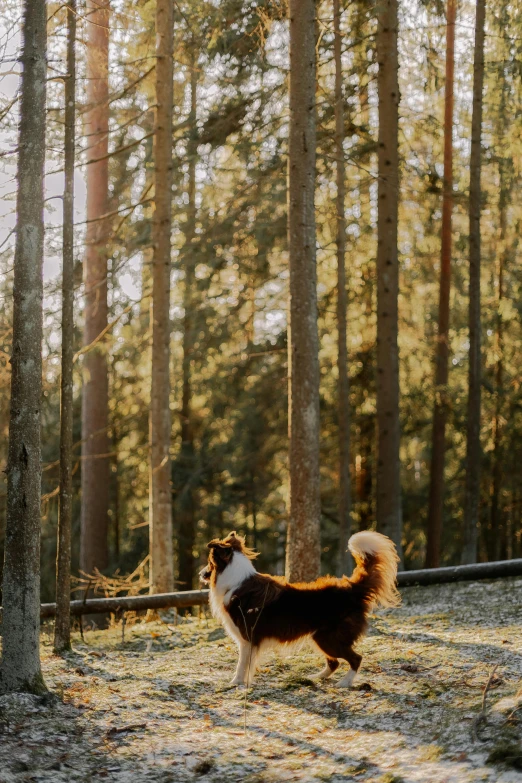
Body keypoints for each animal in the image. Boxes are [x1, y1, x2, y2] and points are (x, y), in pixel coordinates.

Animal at [199, 528, 398, 688]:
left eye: (209, 562)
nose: (200, 574)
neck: (235, 581)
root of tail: (351, 588)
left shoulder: (248, 638)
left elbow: (242, 665)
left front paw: (236, 683)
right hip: (319, 637)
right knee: (334, 663)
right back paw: (317, 677)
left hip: (328, 638)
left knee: (356, 658)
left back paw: (345, 682)